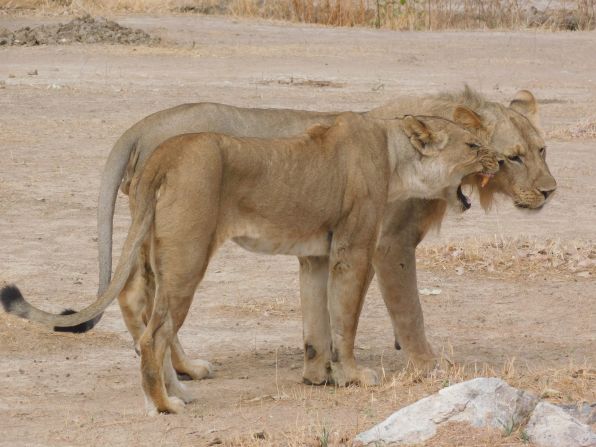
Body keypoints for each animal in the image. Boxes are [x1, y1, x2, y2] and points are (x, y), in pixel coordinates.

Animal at [2, 114, 500, 414]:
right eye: (473, 144)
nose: (500, 160)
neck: (395, 157)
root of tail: (161, 155)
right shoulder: (353, 250)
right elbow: (345, 322)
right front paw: (354, 377)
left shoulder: (315, 255)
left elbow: (316, 325)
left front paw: (318, 377)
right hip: (188, 255)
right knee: (153, 332)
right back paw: (165, 404)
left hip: (155, 248)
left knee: (139, 305)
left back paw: (179, 386)